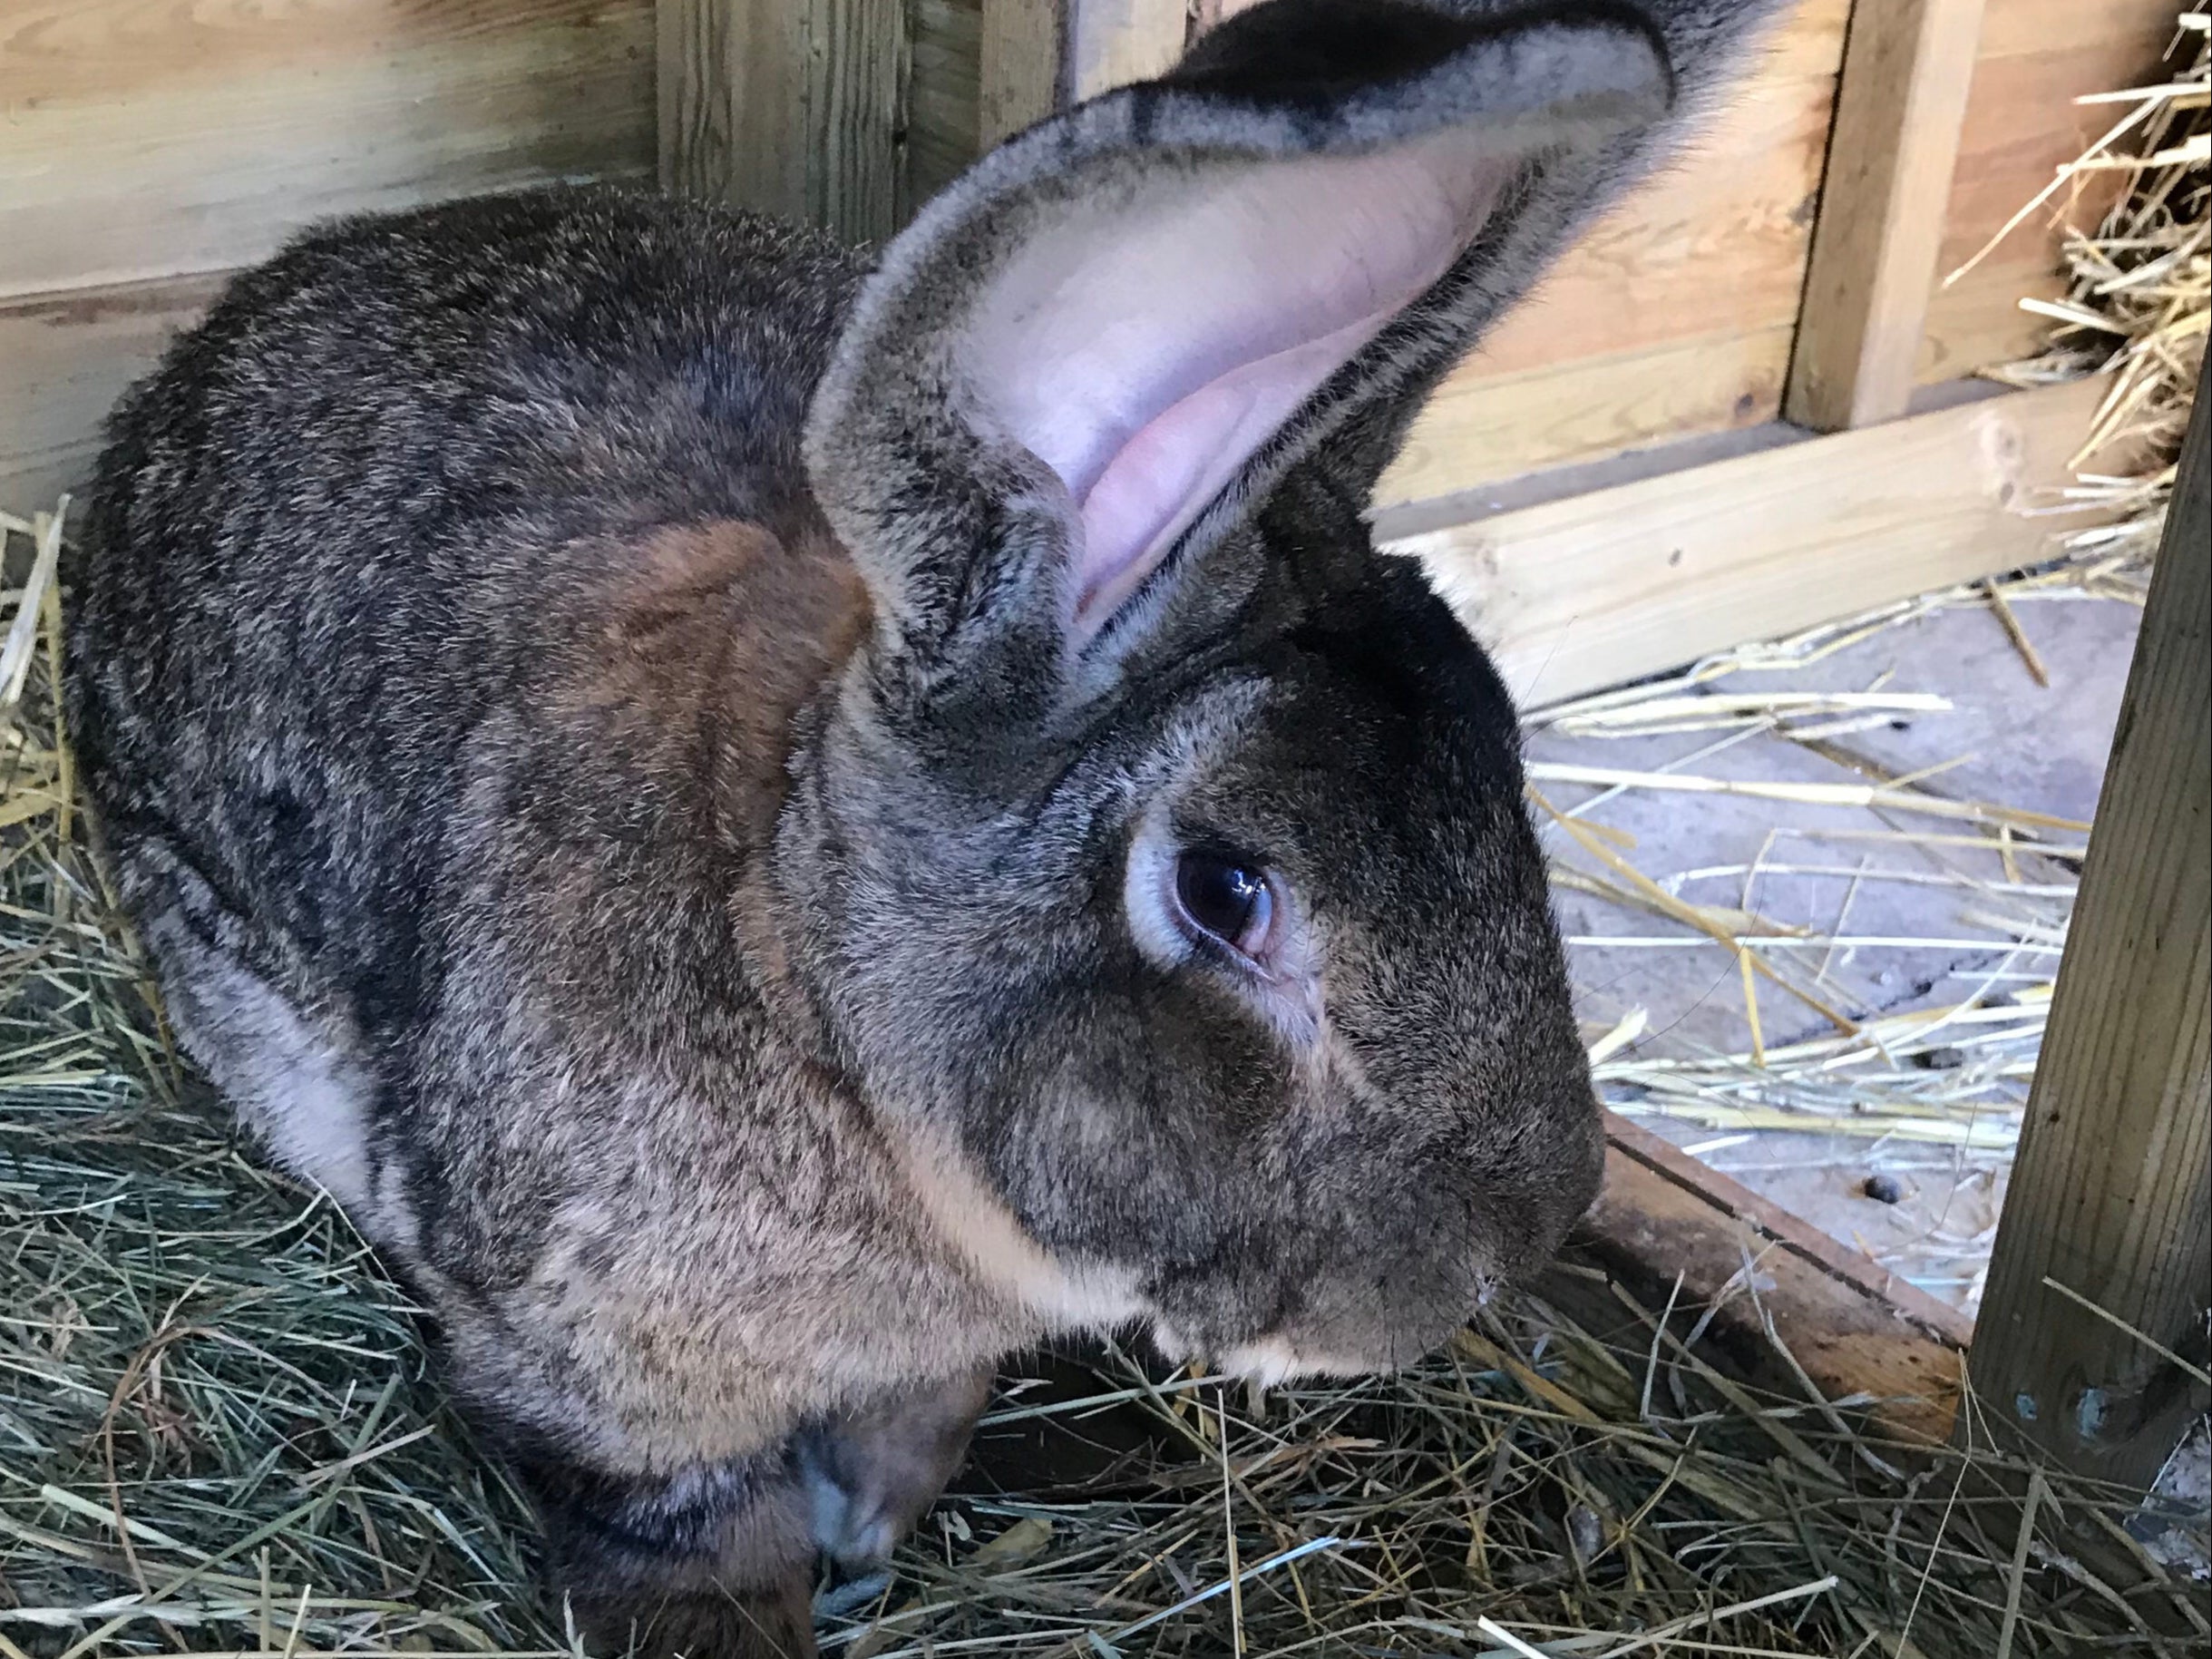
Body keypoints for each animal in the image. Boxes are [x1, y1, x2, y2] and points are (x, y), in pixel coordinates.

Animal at [73, 0, 1796, 1654]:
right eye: (1225, 889)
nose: (1508, 1246)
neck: (794, 969)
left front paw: (865, 1534)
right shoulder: (593, 1365)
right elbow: (681, 1526)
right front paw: (766, 1606)